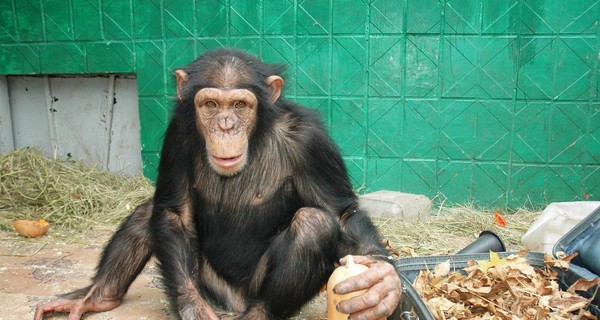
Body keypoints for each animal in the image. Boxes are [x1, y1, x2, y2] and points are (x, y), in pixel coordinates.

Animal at [31, 47, 398, 320]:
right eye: (210, 105)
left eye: (239, 104)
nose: (225, 125)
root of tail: (235, 302)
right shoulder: (178, 132)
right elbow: (174, 213)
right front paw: (192, 308)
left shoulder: (311, 141)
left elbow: (340, 214)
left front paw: (383, 282)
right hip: (211, 285)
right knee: (148, 212)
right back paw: (97, 297)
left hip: (252, 290)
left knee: (314, 224)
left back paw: (259, 313)